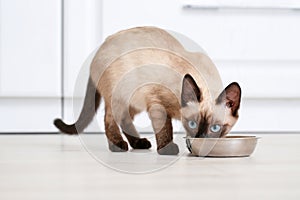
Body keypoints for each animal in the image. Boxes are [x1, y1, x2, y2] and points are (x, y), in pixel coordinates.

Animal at [54, 26, 241, 155]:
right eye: (192, 124)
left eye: (215, 128)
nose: (200, 138)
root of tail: (104, 42)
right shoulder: (157, 103)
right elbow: (164, 128)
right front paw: (167, 149)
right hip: (120, 96)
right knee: (109, 119)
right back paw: (118, 146)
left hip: (133, 101)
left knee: (124, 120)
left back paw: (139, 143)